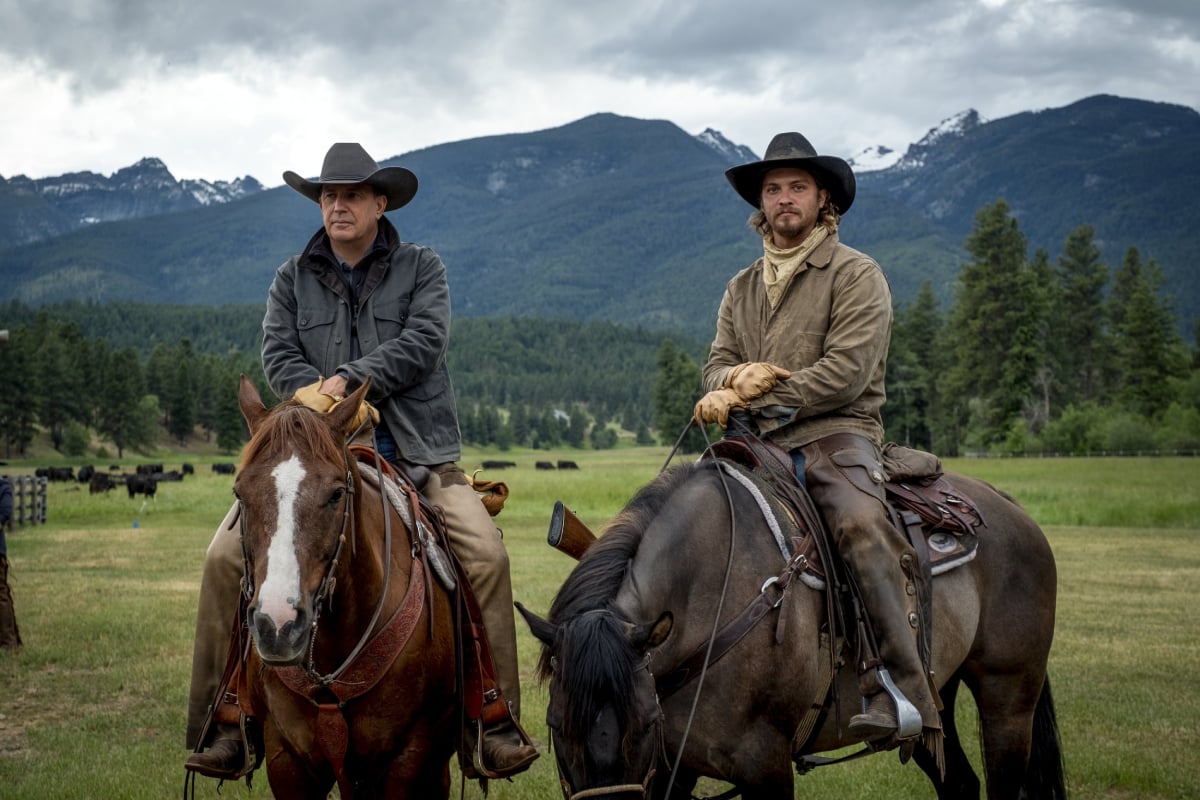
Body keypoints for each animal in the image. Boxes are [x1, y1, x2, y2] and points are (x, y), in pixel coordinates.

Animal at [520, 460, 1065, 796]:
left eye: (645, 723)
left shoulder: (764, 764)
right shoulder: (673, 768)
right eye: (554, 725)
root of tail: (1007, 505)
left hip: (1008, 699)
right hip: (937, 701)